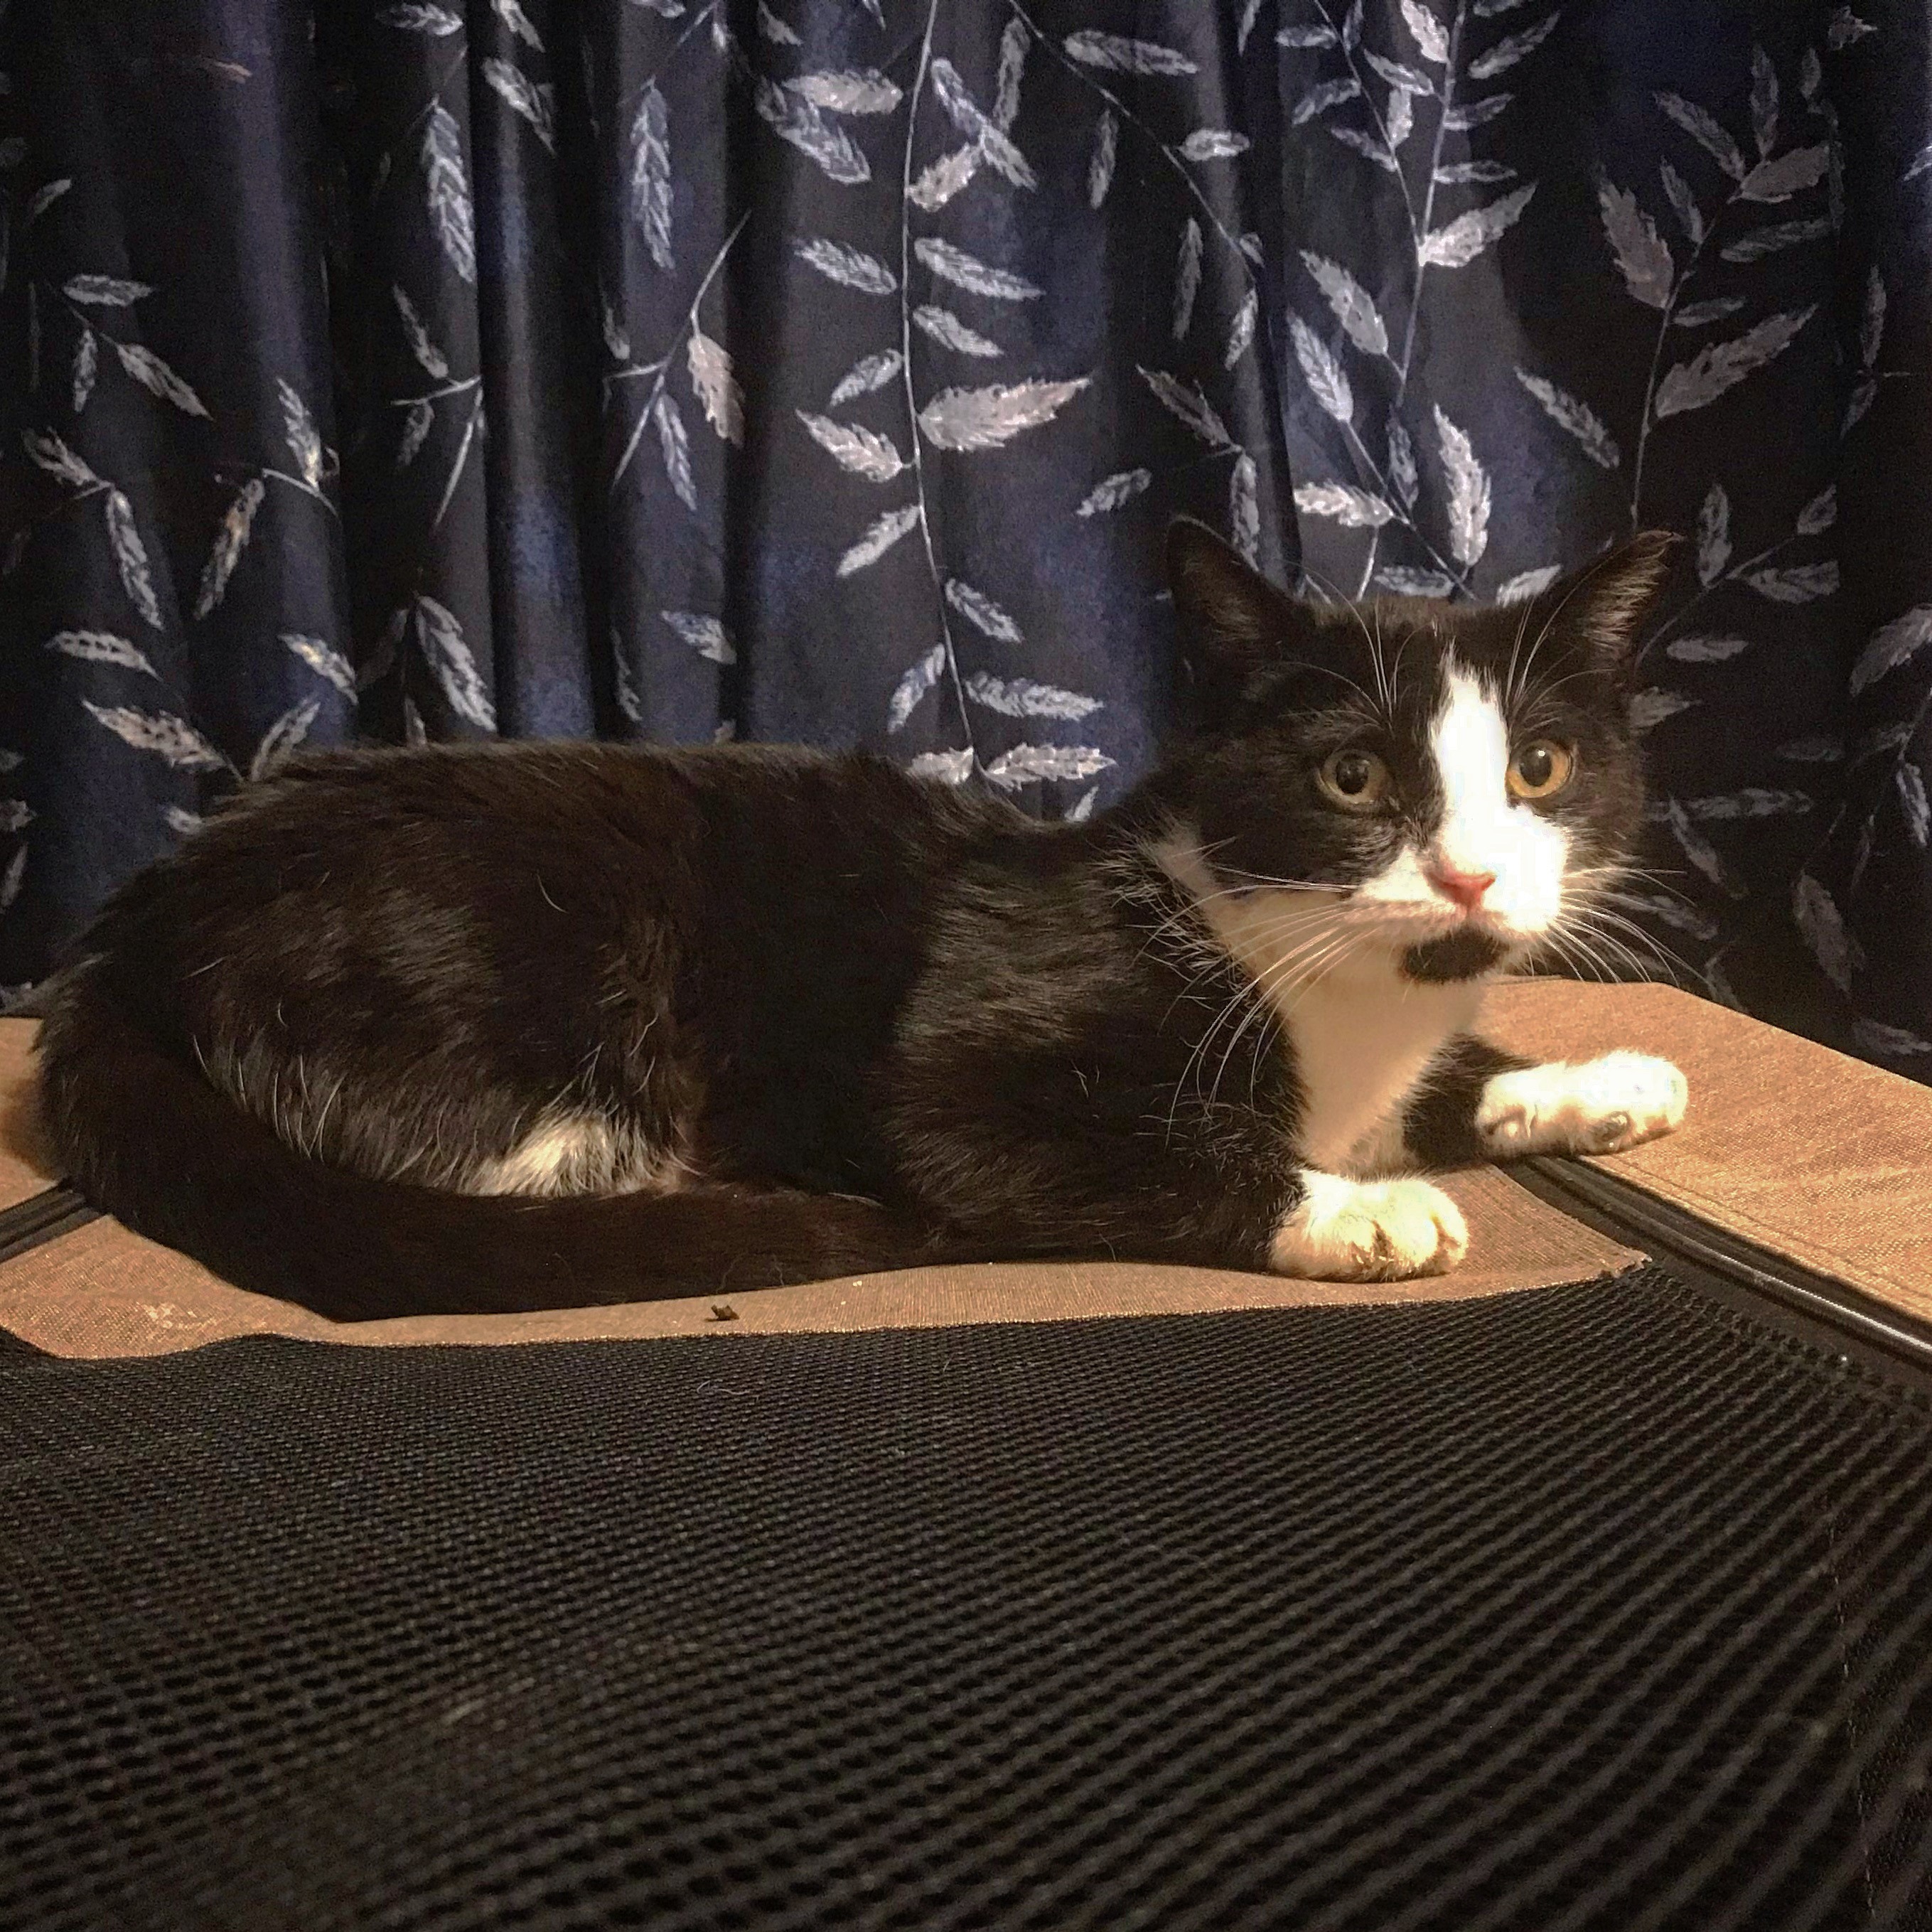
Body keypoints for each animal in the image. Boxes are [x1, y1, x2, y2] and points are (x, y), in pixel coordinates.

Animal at [36, 520, 1688, 1321]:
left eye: (1538, 768)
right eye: (1352, 776)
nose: (1472, 876)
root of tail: (143, 913)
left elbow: (1442, 1083)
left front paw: (1595, 1079)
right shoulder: (957, 1076)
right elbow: (1086, 1143)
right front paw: (1356, 1207)